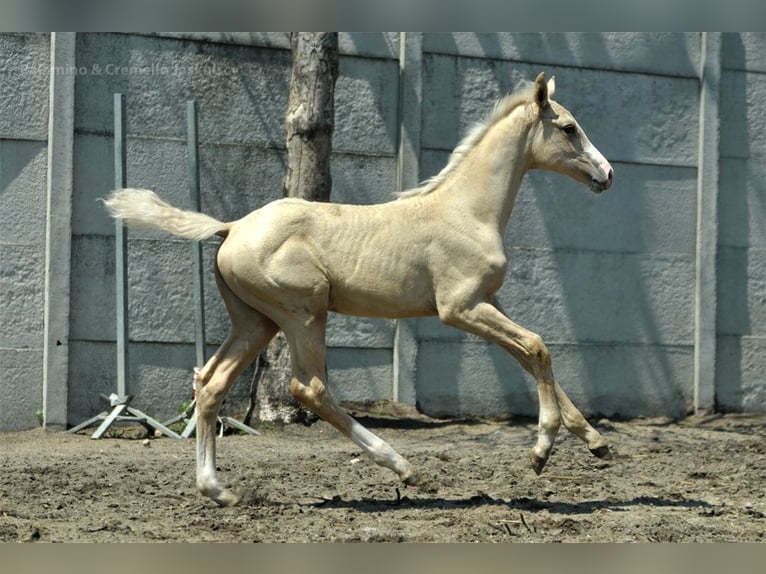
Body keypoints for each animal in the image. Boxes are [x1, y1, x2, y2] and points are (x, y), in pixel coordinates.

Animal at [103, 73, 616, 508]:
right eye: (569, 128)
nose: (608, 173)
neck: (467, 211)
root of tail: (230, 227)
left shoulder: (488, 303)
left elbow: (533, 357)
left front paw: (596, 442)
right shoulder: (460, 308)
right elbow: (538, 346)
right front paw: (541, 451)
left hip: (256, 321)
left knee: (209, 384)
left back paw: (219, 490)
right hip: (303, 313)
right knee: (308, 388)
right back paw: (402, 466)